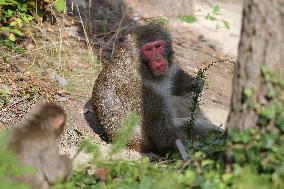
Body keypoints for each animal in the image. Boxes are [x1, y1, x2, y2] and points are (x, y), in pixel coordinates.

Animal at [91, 23, 202, 159]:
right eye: (148, 49)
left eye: (158, 46)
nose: (158, 59)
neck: (142, 67)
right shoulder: (147, 95)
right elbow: (159, 129)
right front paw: (176, 150)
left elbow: (171, 79)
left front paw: (193, 83)